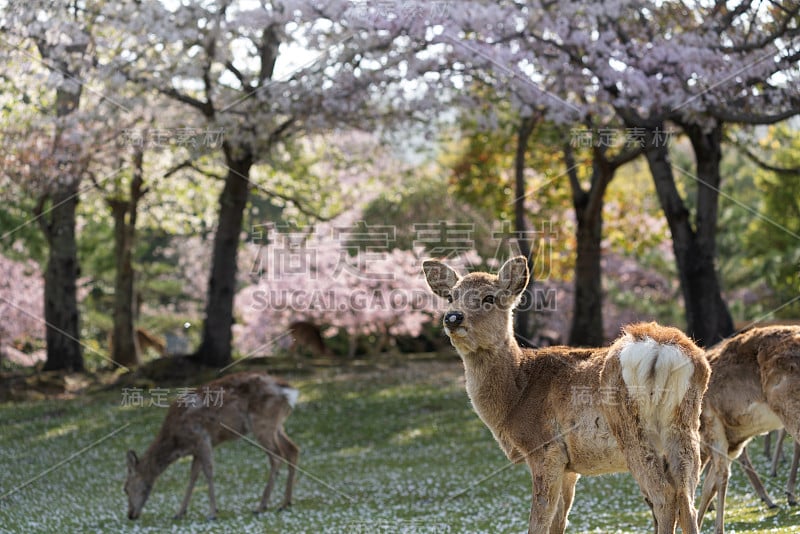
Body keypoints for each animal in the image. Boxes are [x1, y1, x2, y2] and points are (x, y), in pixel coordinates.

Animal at [125, 372, 300, 520]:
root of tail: (289, 391)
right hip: (277, 425)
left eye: (126, 488)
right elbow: (193, 476)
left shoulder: (202, 438)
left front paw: (212, 513)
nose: (130, 515)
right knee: (292, 449)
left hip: (263, 422)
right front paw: (180, 512)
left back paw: (261, 506)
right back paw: (285, 503)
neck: (177, 442)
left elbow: (208, 472)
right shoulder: (195, 449)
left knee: (277, 456)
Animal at [422, 258, 708, 532]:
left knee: (665, 496)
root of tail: (662, 349)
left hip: (630, 428)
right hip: (684, 427)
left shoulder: (545, 448)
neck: (515, 397)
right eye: (451, 296)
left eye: (489, 298)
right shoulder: (570, 466)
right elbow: (559, 521)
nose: (453, 317)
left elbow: (539, 521)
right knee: (687, 500)